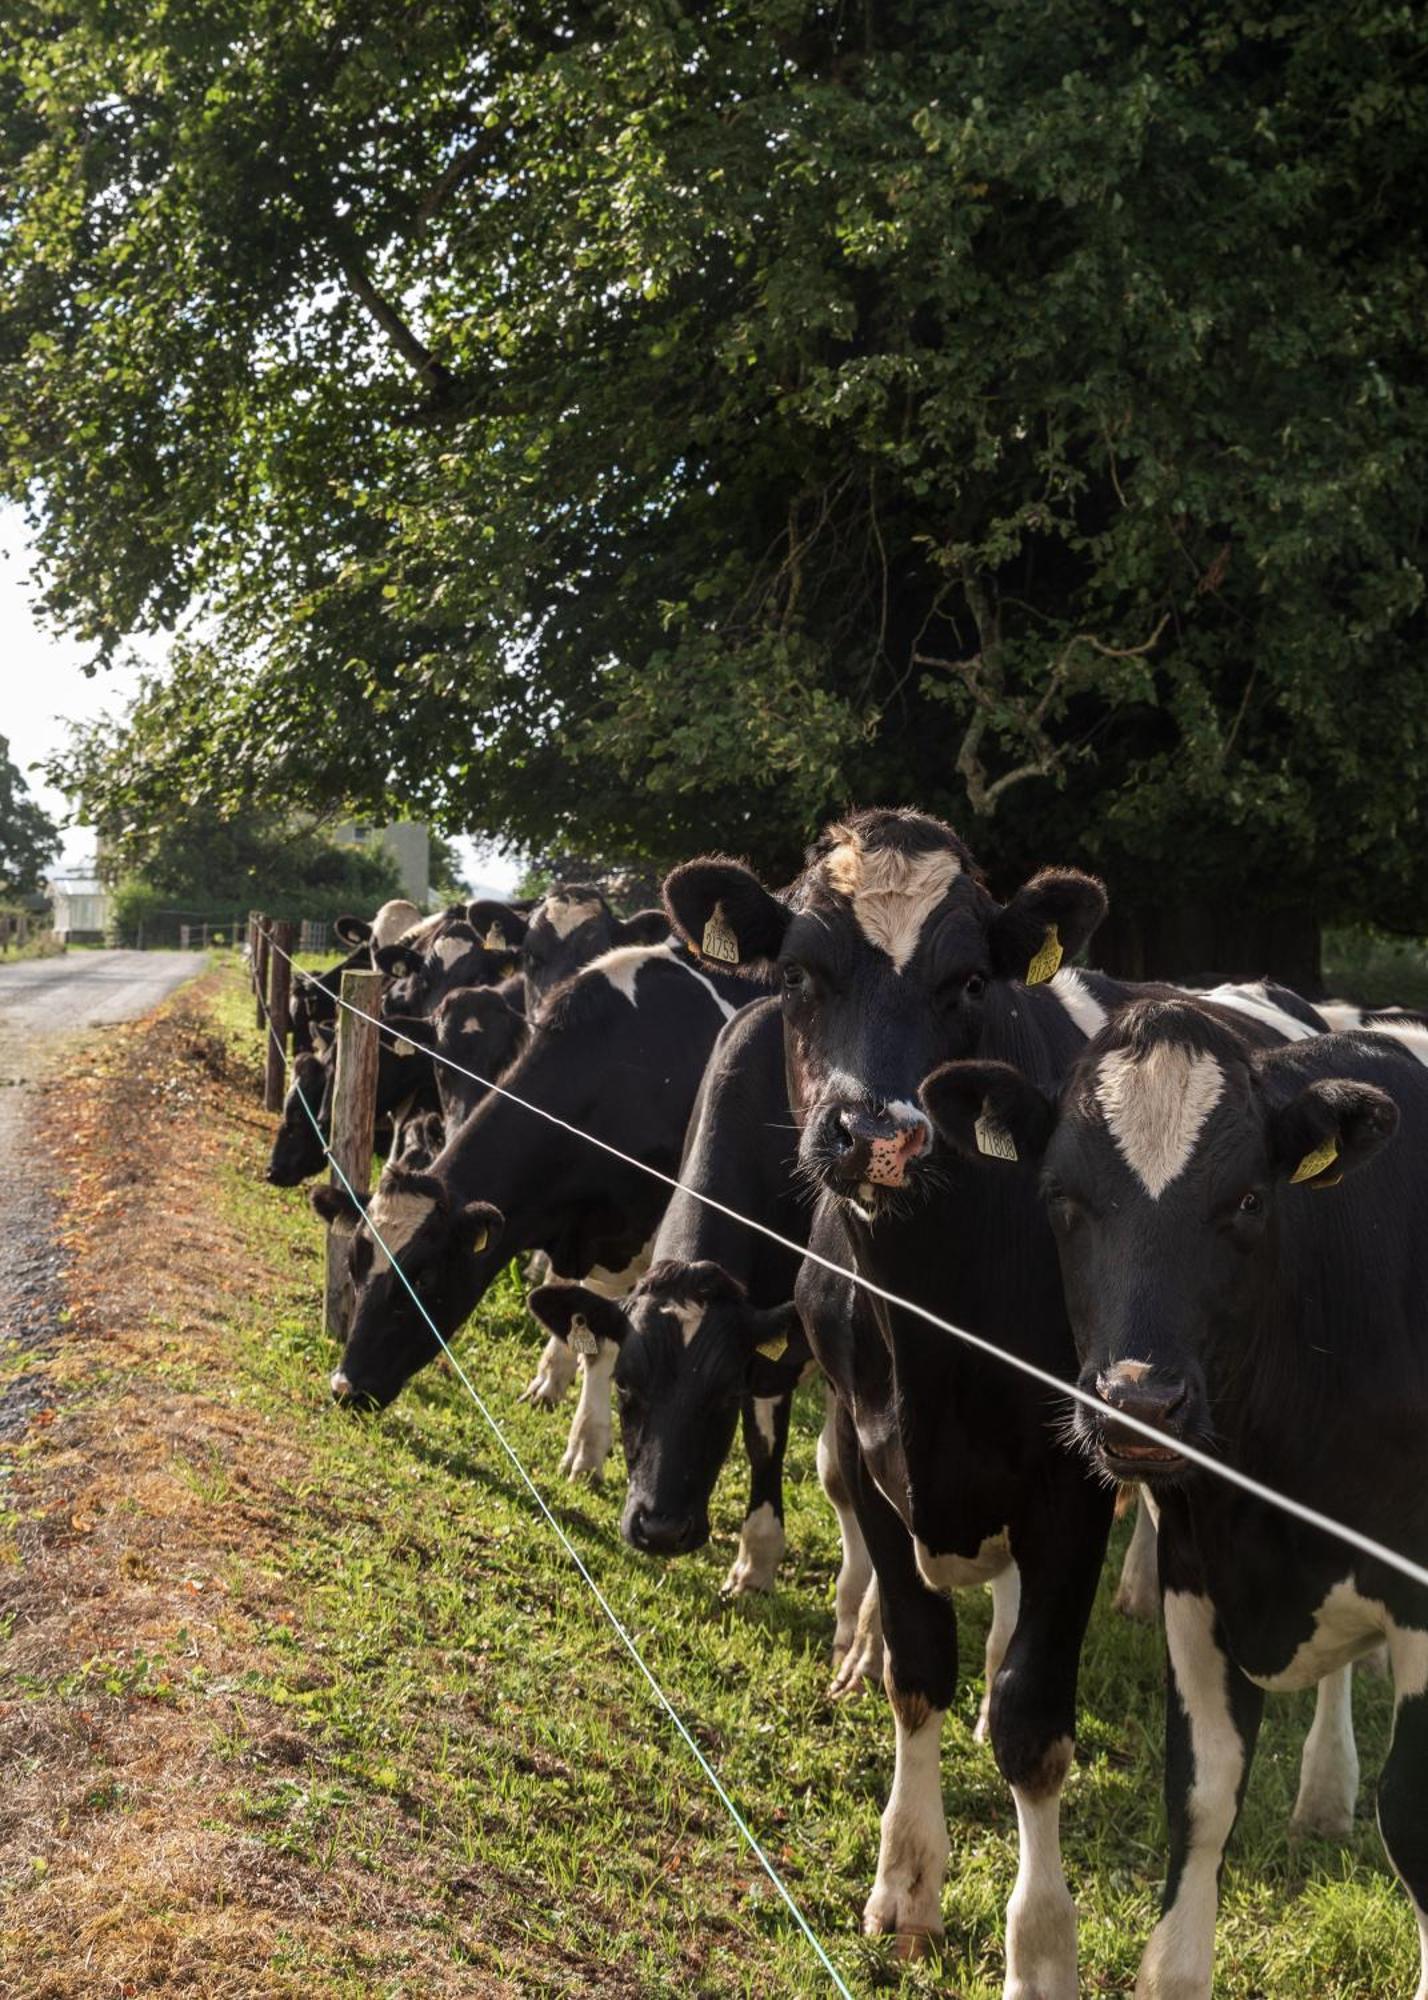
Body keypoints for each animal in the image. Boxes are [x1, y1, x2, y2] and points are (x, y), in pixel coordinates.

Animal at [314, 944, 756, 1416]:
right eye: (353, 1265)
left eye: (424, 1278)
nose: (346, 1387)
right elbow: (564, 1297)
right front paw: (549, 1382)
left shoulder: (634, 1241)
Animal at [924, 1000, 1424, 2000]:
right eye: (1061, 1198)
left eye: (1249, 1201)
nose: (1140, 1403)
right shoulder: (1199, 1573)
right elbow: (1200, 1793)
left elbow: (1419, 1817)